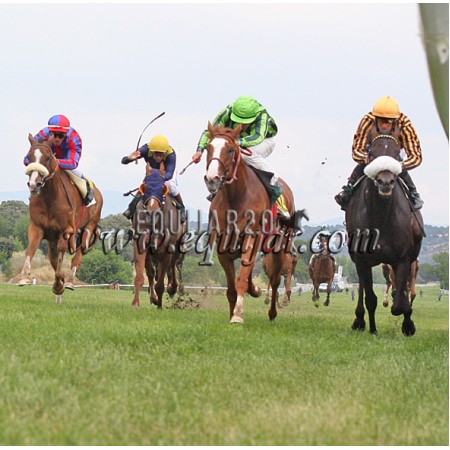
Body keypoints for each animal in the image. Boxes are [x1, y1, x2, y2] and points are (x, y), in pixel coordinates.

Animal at [19, 134, 103, 303]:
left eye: (48, 158)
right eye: (29, 157)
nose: (33, 184)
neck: (50, 197)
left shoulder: (66, 230)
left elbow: (61, 258)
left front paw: (59, 284)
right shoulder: (37, 227)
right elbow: (31, 250)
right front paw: (24, 277)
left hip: (88, 228)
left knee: (78, 257)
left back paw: (69, 281)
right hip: (52, 238)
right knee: (53, 256)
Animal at [131, 163, 186, 308]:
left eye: (162, 188)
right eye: (144, 187)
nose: (152, 211)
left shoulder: (167, 248)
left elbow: (161, 282)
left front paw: (160, 305)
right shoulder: (141, 242)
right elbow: (143, 275)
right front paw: (136, 303)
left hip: (177, 247)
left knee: (174, 264)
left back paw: (173, 289)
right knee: (153, 272)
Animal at [203, 122, 305, 323]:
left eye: (230, 149)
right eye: (208, 148)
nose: (212, 179)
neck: (236, 197)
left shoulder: (252, 238)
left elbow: (242, 280)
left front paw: (237, 315)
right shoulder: (223, 248)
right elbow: (232, 287)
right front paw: (234, 310)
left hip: (280, 247)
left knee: (275, 281)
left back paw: (272, 312)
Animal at [345, 134, 424, 335]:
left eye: (398, 154)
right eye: (372, 153)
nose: (386, 182)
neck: (382, 217)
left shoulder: (403, 259)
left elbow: (400, 301)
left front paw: (408, 324)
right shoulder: (362, 259)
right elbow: (370, 297)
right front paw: (372, 328)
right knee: (362, 287)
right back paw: (359, 320)